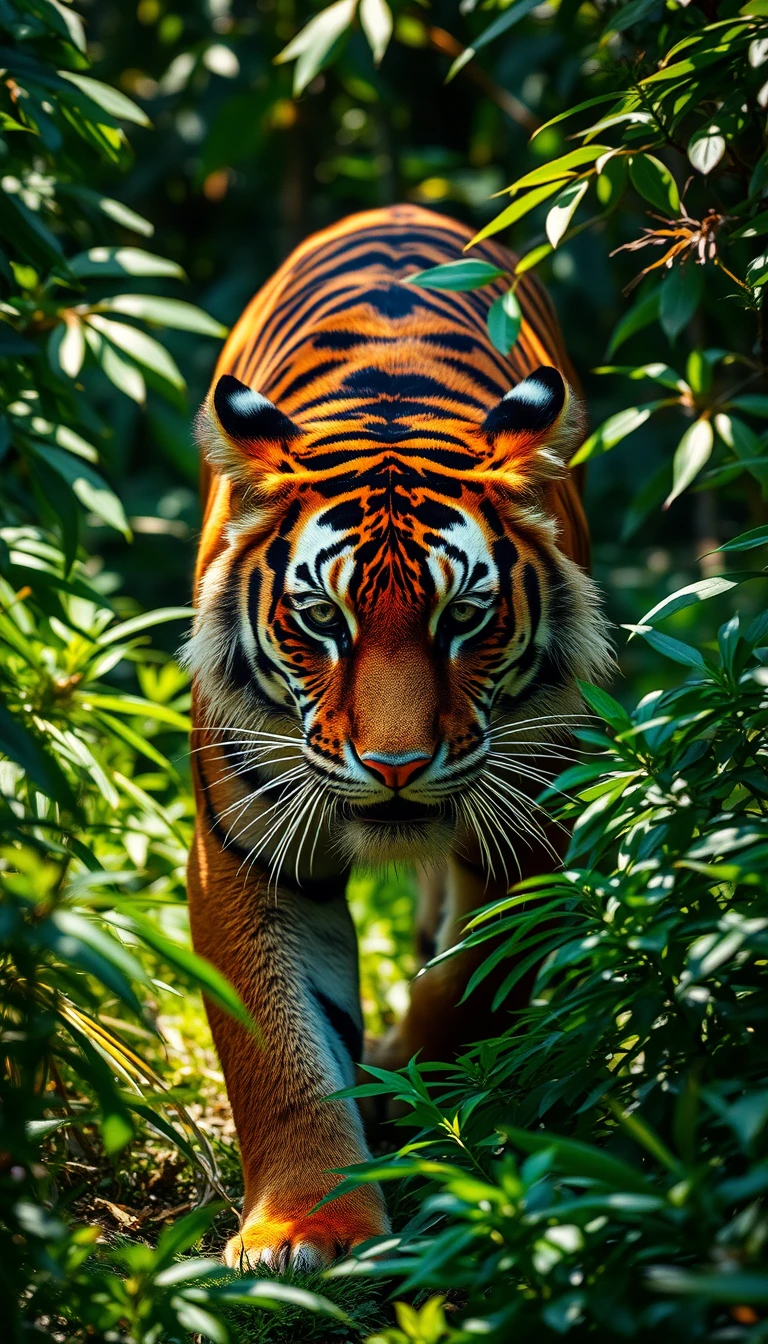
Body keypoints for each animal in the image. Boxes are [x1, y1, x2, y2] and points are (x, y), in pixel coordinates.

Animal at [185, 203, 611, 1272]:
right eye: (321, 620)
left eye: (462, 619)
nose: (395, 767)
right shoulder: (244, 859)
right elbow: (277, 1048)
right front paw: (305, 1227)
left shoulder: (530, 829)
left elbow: (471, 979)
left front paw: (424, 1095)